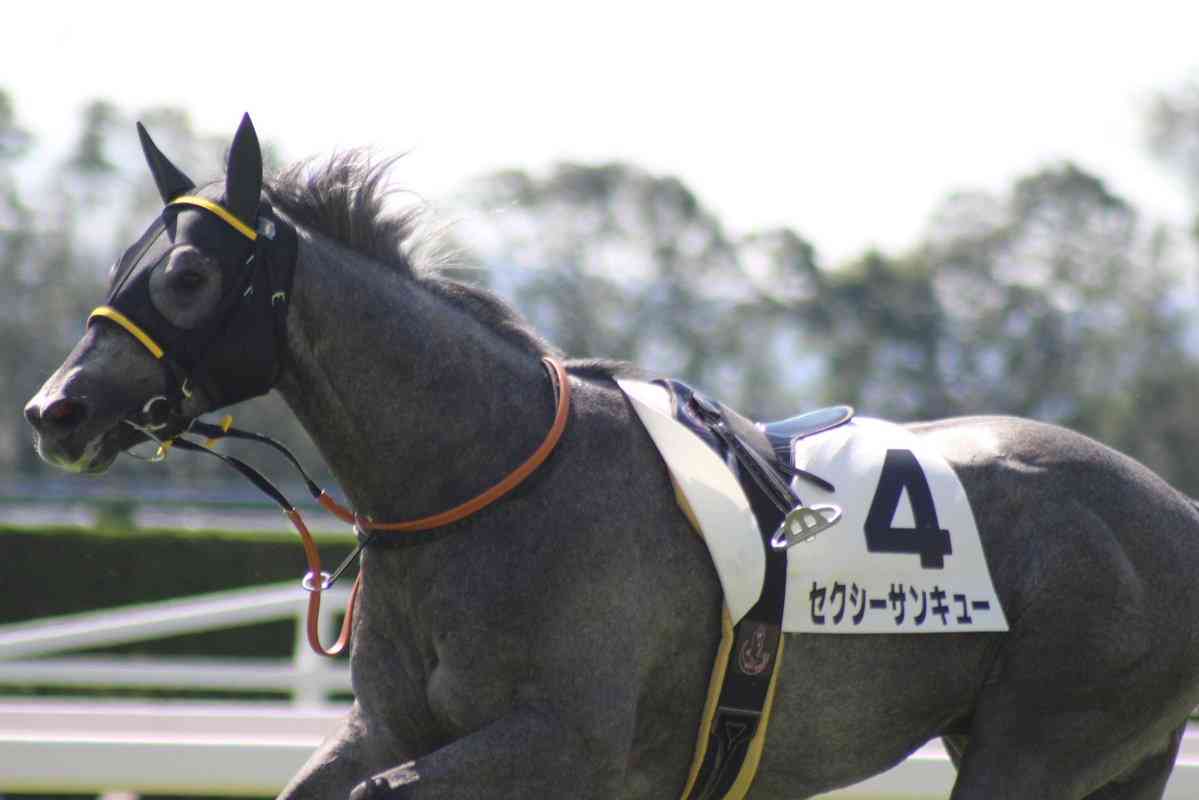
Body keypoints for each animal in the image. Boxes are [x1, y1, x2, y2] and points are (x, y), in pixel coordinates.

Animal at [23, 114, 1199, 800]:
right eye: (125, 260)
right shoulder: (387, 727)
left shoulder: (561, 742)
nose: (53, 411)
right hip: (1113, 761)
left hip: (1038, 745)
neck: (481, 480)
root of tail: (1173, 511)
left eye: (184, 277)